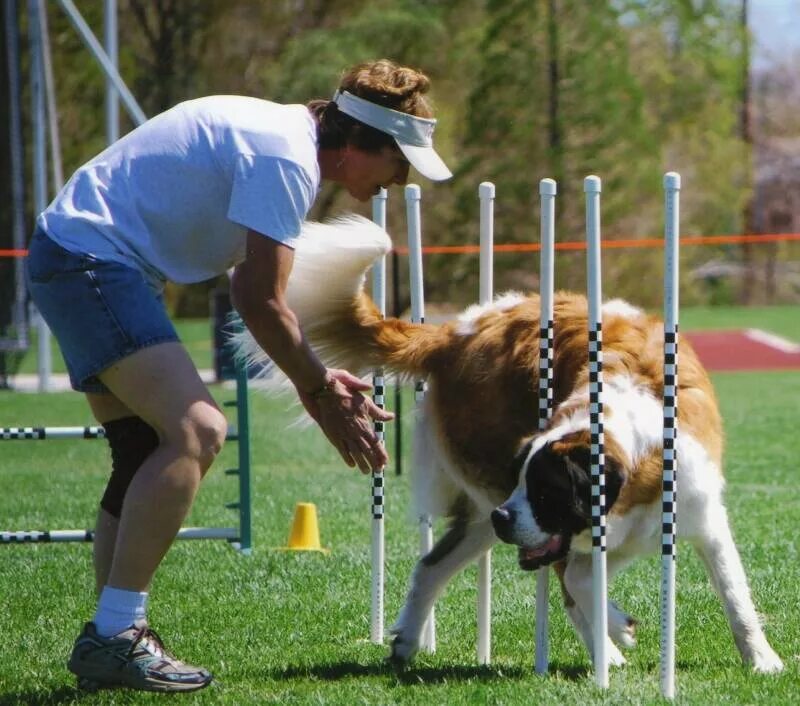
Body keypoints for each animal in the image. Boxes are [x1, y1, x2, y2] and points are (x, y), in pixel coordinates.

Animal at [234, 213, 784, 672]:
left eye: (547, 491)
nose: (506, 515)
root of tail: (456, 332)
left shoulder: (699, 513)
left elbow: (734, 593)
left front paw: (762, 662)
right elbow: (579, 583)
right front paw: (617, 630)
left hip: (485, 514)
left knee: (433, 566)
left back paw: (409, 641)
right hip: (488, 487)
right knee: (535, 575)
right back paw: (604, 650)